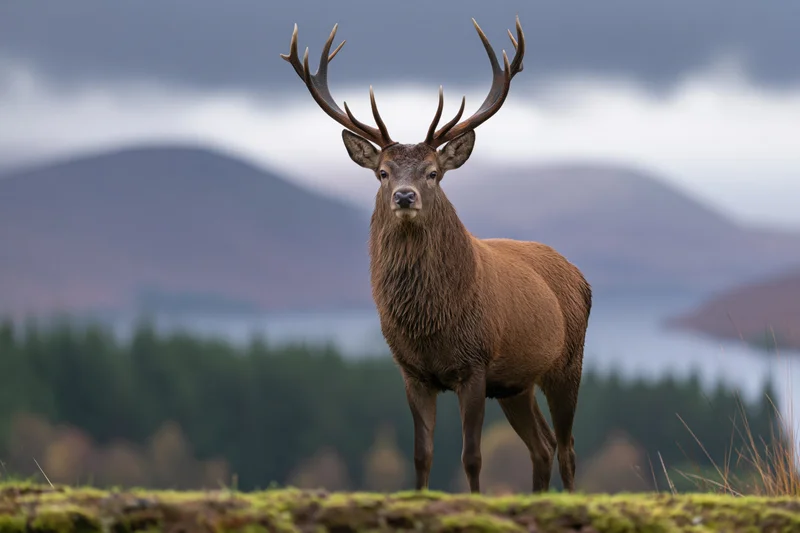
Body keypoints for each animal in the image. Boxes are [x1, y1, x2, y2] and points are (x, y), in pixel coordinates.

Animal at [281, 16, 592, 494]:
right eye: (383, 172)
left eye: (432, 173)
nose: (405, 196)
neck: (431, 324)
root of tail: (580, 276)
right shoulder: (413, 371)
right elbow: (421, 455)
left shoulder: (475, 364)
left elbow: (472, 456)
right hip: (516, 384)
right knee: (542, 445)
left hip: (568, 361)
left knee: (568, 447)